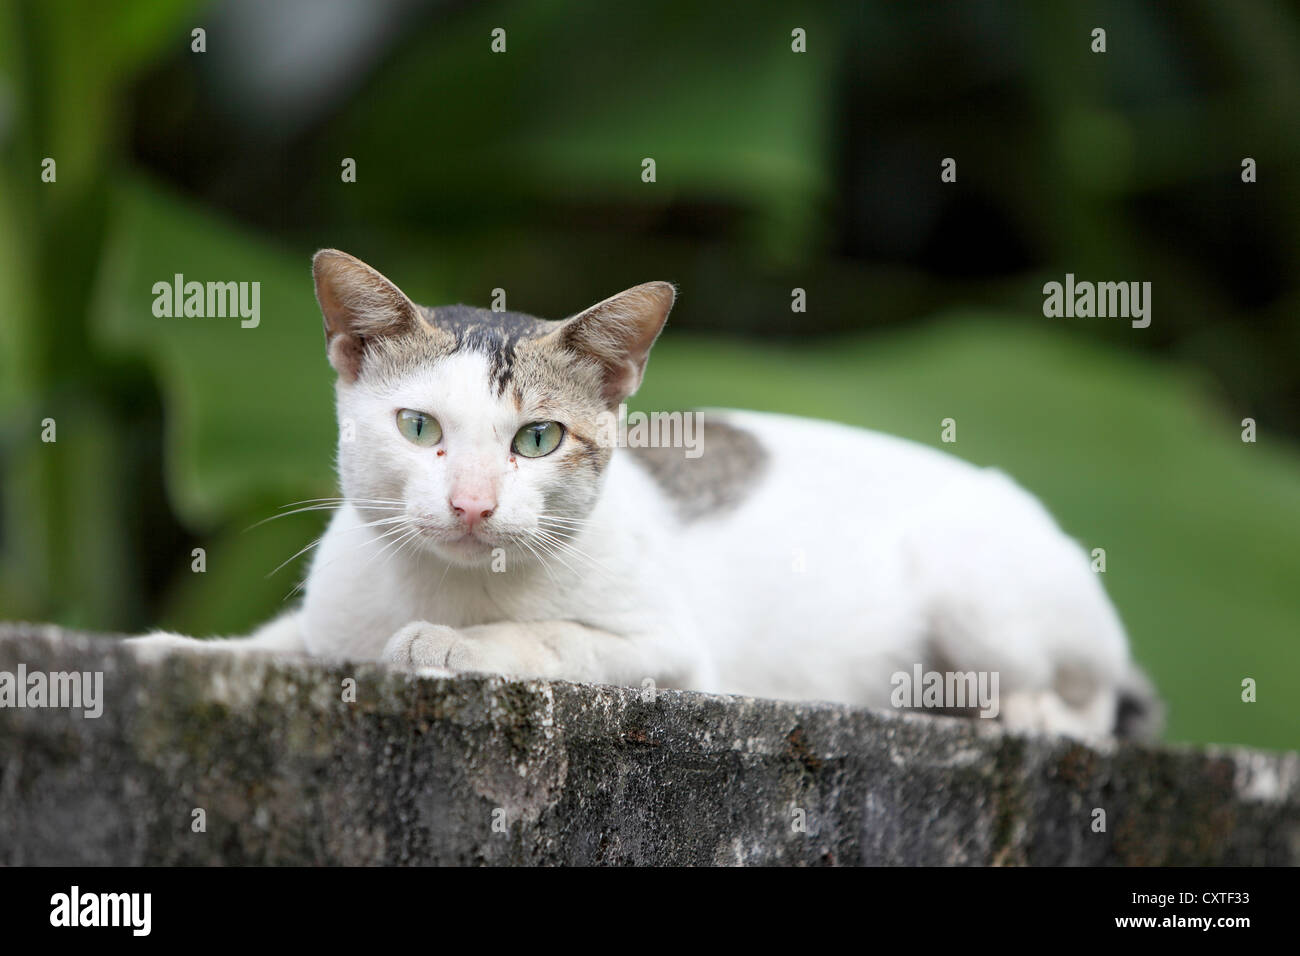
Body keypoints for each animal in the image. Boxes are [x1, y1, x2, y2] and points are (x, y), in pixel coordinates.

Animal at [131, 248, 1164, 738]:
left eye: (537, 439)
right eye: (419, 429)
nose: (471, 506)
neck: (446, 585)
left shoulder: (672, 657)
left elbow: (552, 639)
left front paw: (450, 646)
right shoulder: (324, 623)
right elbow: (280, 643)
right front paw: (173, 649)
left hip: (981, 590)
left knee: (1090, 705)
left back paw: (1029, 713)